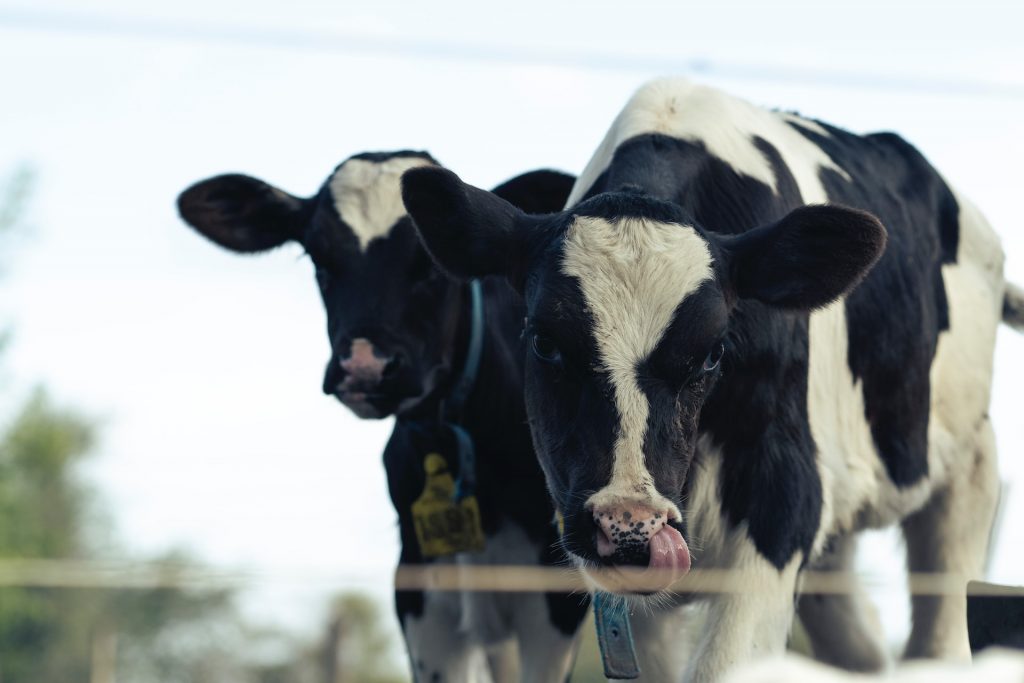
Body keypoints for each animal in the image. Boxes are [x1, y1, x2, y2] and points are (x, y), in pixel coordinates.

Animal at [402, 79, 1024, 682]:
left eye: (712, 354)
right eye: (544, 343)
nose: (628, 524)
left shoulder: (782, 499)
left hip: (968, 470)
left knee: (939, 634)